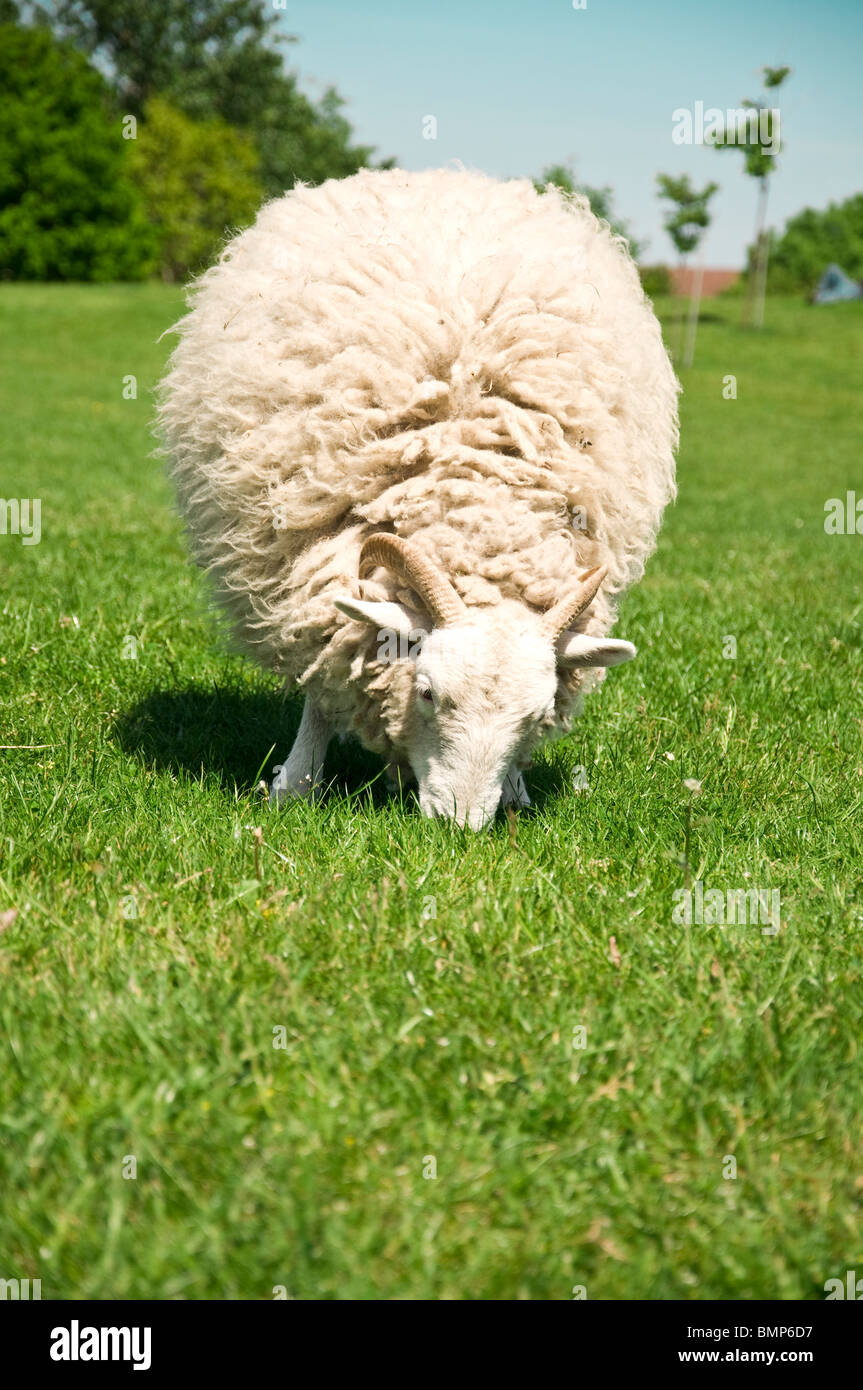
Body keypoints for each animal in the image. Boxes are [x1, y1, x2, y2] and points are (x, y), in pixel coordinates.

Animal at [158, 168, 675, 828]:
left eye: (536, 718)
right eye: (428, 693)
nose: (460, 825)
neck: (481, 509)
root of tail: (449, 175)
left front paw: (515, 788)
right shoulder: (310, 565)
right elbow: (324, 676)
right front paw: (296, 782)